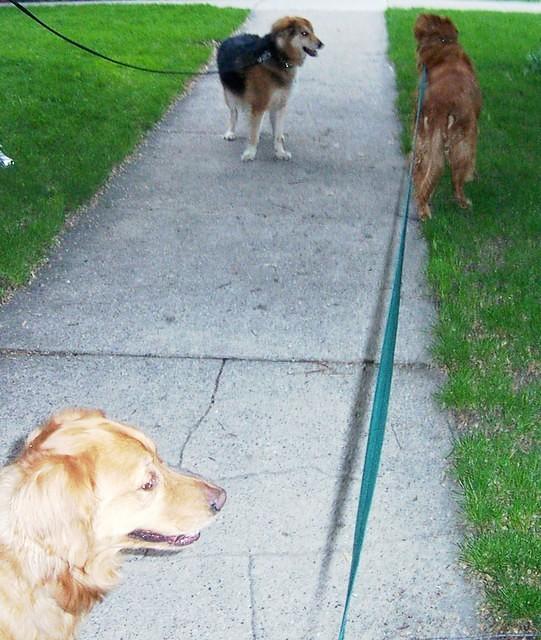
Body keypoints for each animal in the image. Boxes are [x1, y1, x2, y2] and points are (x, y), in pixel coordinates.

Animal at [414, 14, 480, 220]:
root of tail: (440, 105)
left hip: (423, 137)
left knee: (420, 172)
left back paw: (422, 204)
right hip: (463, 141)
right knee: (456, 178)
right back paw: (463, 201)